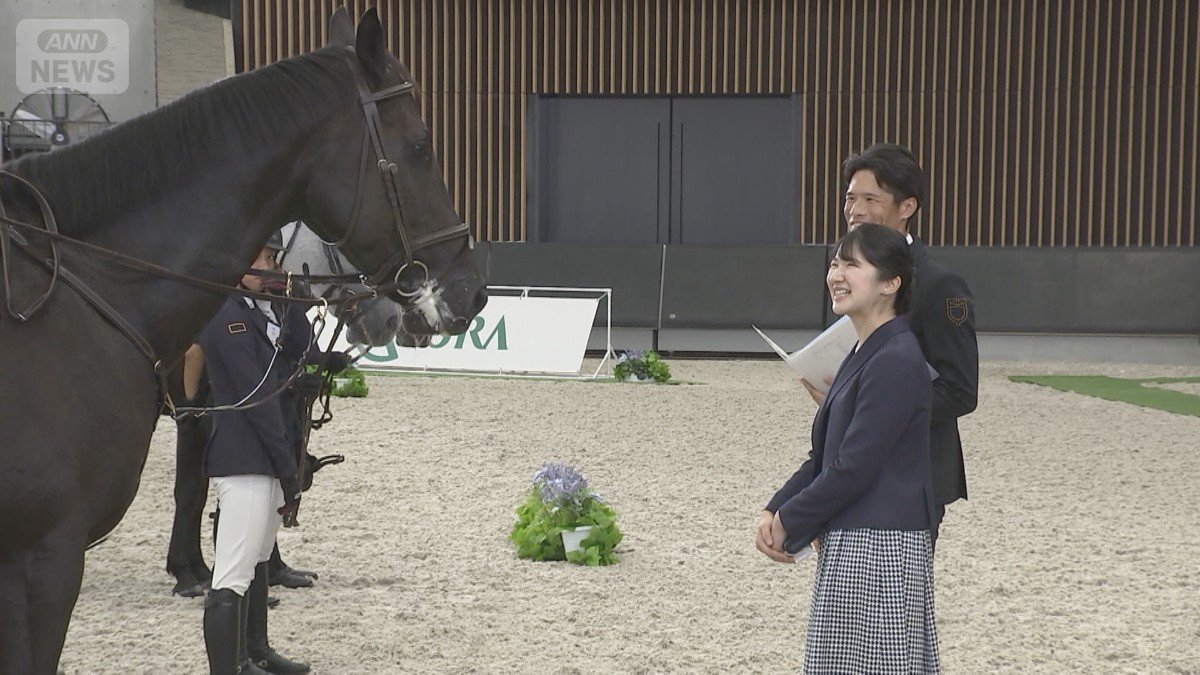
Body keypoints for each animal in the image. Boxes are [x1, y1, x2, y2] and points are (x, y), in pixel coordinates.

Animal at [164, 221, 407, 598]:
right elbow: (192, 494)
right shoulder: (197, 417)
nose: (391, 320)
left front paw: (272, 570)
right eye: (351, 248)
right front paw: (189, 574)